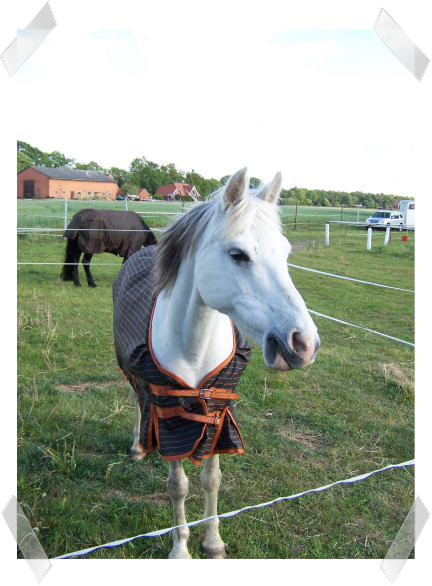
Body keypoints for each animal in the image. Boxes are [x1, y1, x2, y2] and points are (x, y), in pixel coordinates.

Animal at [113, 168, 320, 558]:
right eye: (237, 254)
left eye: (286, 252)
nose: (303, 343)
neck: (194, 347)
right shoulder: (170, 417)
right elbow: (178, 486)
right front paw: (180, 549)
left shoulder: (218, 414)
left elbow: (212, 479)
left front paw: (213, 542)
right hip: (132, 375)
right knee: (136, 402)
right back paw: (137, 446)